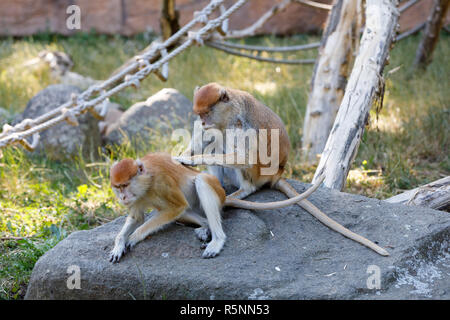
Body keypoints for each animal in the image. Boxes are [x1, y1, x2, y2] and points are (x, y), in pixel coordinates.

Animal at [110, 151, 326, 262]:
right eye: (117, 187)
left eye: (125, 185)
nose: (122, 197)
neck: (145, 181)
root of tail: (224, 197)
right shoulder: (137, 199)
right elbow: (137, 217)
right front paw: (119, 244)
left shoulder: (162, 183)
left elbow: (175, 207)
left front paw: (134, 237)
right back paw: (205, 227)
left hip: (215, 189)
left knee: (201, 181)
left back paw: (216, 239)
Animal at [178, 83, 388, 258]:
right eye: (199, 114)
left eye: (206, 113)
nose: (203, 123)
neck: (230, 110)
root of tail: (277, 172)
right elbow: (204, 140)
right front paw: (184, 155)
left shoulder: (238, 126)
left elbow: (245, 157)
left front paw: (188, 159)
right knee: (215, 141)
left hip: (258, 172)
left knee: (230, 154)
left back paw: (241, 191)